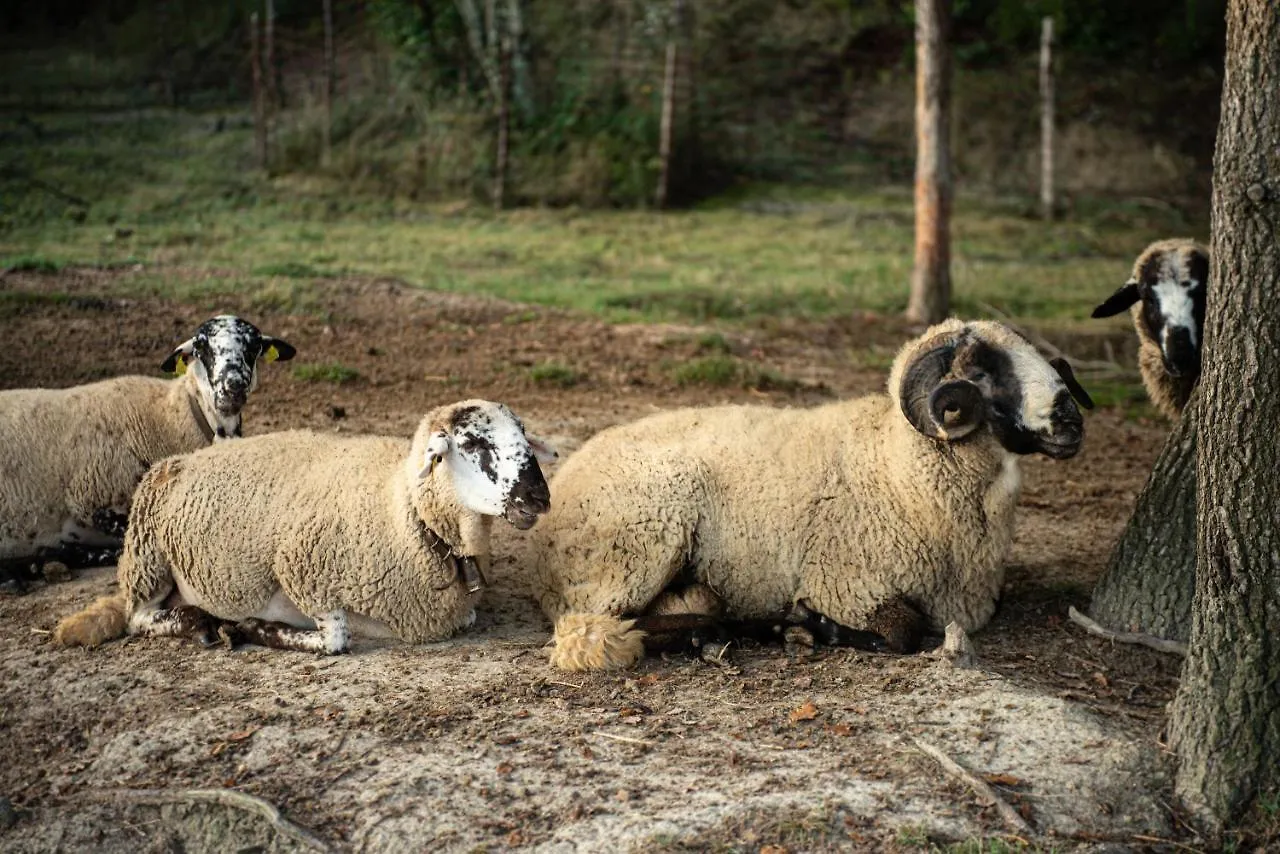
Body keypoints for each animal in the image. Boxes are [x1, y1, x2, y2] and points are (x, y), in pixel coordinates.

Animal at [52, 402, 552, 655]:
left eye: (522, 434)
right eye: (472, 442)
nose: (539, 497)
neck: (402, 509)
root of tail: (181, 459)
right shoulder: (301, 571)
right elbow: (335, 639)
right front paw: (254, 627)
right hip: (149, 560)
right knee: (138, 617)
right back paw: (201, 624)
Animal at [527, 317, 1090, 670]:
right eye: (980, 370)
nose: (1070, 419)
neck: (897, 466)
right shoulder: (846, 582)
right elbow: (905, 633)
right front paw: (815, 627)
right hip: (640, 538)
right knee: (588, 629)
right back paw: (737, 630)